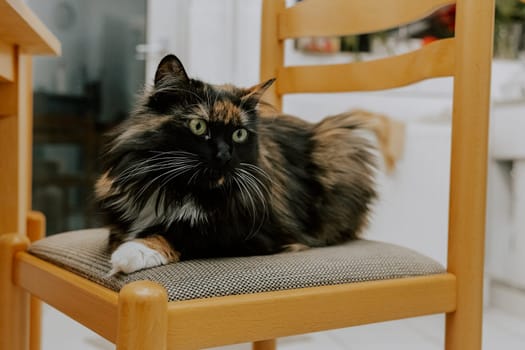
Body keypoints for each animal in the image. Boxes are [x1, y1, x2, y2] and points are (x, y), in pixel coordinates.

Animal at [95, 54, 376, 276]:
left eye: (239, 134)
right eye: (198, 126)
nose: (224, 155)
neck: (179, 188)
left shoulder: (252, 232)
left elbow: (186, 232)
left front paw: (134, 251)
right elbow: (118, 233)